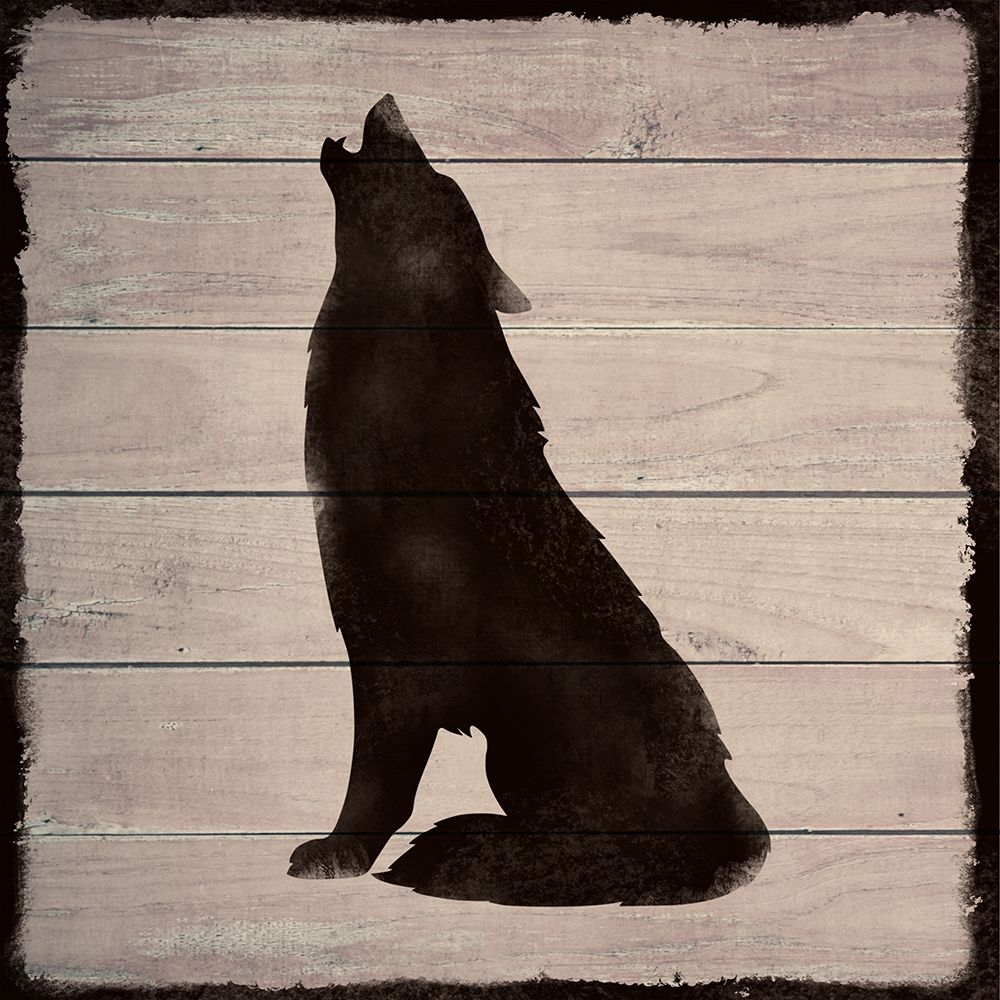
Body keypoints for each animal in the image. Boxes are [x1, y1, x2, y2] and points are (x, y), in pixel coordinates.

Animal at [288, 94, 769, 905]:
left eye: (434, 177)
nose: (391, 103)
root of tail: (739, 815)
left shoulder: (392, 656)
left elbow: (377, 784)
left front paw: (336, 857)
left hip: (530, 750)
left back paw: (458, 850)